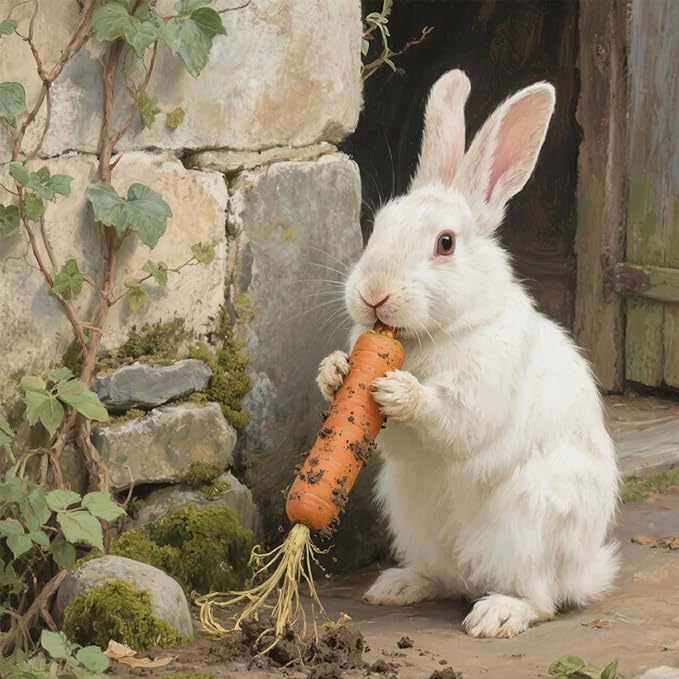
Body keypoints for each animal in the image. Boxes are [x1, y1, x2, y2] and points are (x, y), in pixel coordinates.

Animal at [316, 70, 620, 638]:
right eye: (378, 226)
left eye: (446, 243)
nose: (373, 295)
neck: (431, 336)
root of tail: (584, 571)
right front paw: (335, 372)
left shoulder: (480, 391)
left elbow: (451, 416)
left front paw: (399, 391)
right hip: (411, 517)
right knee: (445, 577)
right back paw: (397, 587)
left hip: (528, 524)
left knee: (541, 599)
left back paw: (497, 615)